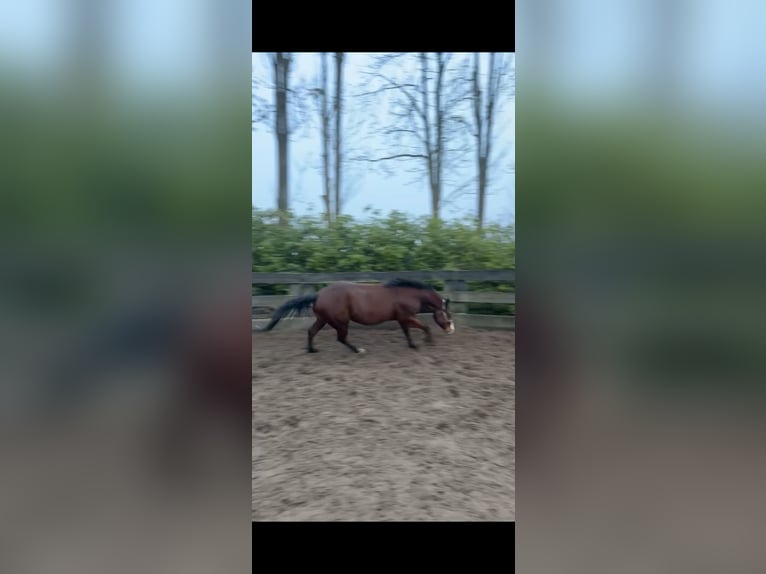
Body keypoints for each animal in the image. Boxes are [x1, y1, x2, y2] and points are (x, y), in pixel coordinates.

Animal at [255, 278, 455, 353]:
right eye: (447, 314)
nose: (451, 329)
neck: (406, 294)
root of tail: (318, 294)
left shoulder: (402, 319)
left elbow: (407, 332)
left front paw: (413, 345)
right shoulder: (406, 317)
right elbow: (425, 326)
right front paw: (428, 341)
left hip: (323, 319)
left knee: (311, 332)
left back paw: (312, 350)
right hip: (341, 322)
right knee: (341, 338)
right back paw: (358, 350)